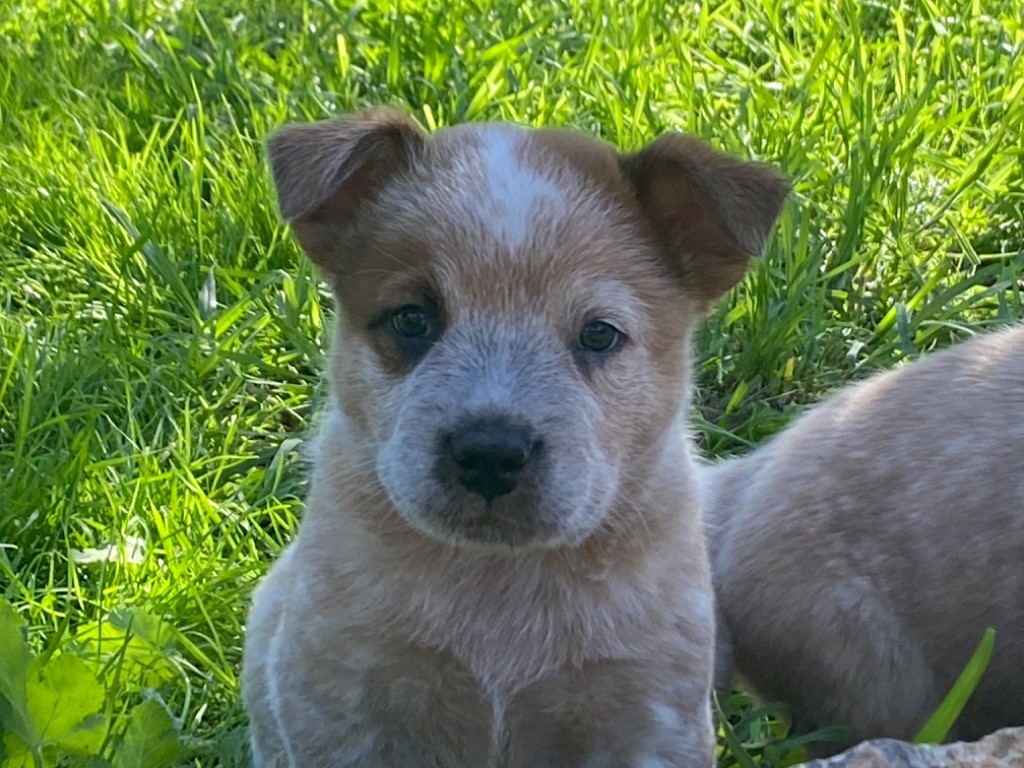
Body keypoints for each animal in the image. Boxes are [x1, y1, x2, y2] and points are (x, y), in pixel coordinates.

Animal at [243, 108, 786, 768]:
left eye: (599, 334)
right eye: (412, 319)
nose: (490, 454)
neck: (497, 588)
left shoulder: (648, 713)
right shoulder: (340, 696)